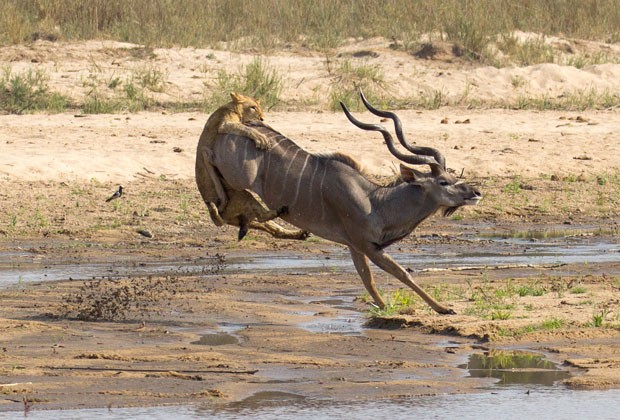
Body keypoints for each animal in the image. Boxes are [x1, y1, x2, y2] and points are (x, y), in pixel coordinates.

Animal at [211, 92, 482, 316]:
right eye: (443, 182)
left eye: (453, 176)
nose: (476, 192)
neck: (376, 202)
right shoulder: (367, 245)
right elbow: (402, 273)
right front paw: (443, 308)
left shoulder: (354, 246)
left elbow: (367, 279)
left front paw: (384, 307)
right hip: (236, 176)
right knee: (219, 196)